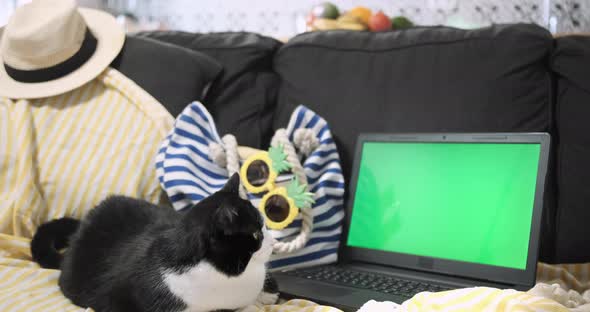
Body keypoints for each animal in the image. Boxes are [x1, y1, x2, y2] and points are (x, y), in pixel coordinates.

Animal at [31, 174, 280, 312]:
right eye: (255, 234)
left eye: (264, 226)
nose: (274, 242)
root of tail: (84, 223)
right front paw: (253, 305)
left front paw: (266, 294)